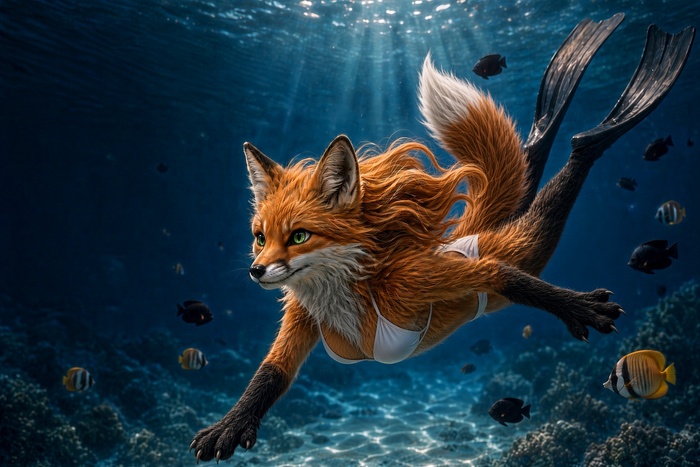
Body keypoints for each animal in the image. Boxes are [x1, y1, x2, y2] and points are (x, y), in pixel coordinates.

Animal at [189, 14, 693, 463]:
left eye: (298, 235)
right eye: (259, 237)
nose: (256, 271)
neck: (348, 289)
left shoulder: (413, 280)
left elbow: (503, 277)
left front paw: (578, 307)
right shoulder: (301, 313)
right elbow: (271, 372)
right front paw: (231, 424)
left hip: (524, 243)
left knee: (571, 156)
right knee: (530, 159)